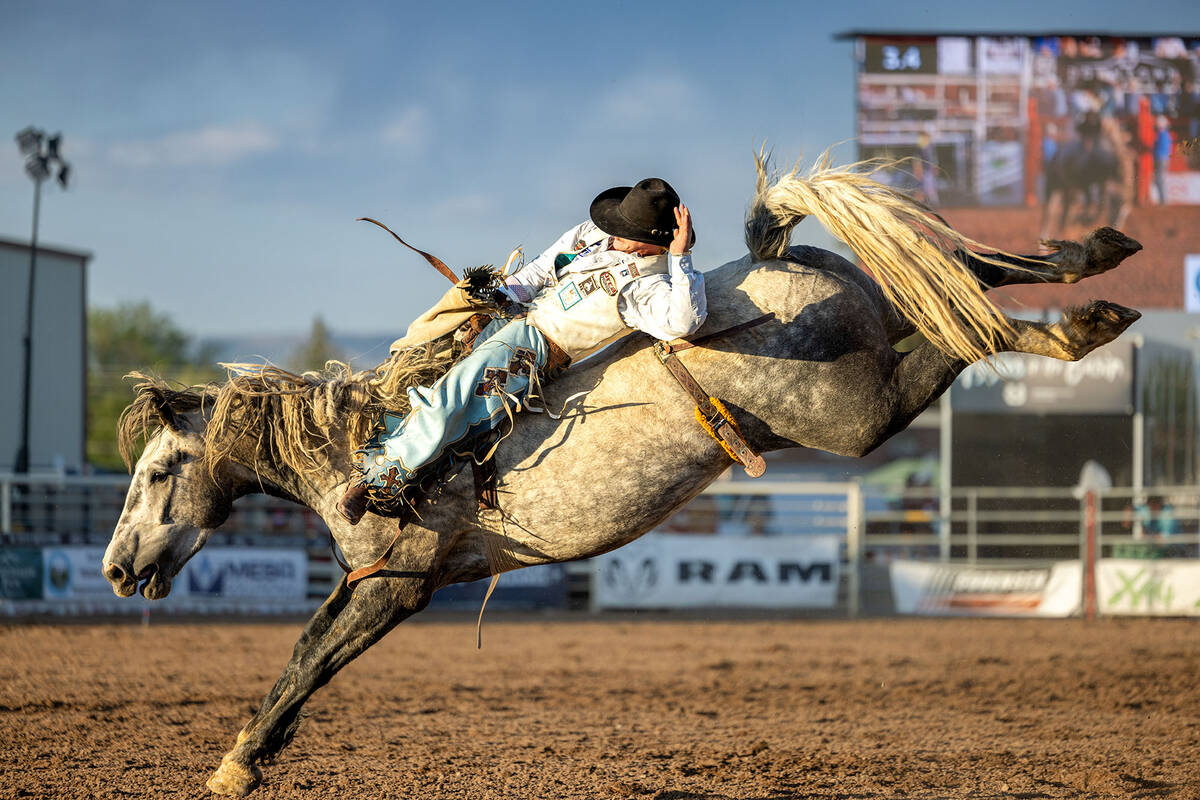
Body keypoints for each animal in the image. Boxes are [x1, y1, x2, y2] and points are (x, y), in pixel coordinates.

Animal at [98, 154, 1137, 796]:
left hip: (856, 414)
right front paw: (241, 758)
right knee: (961, 279)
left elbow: (308, 658)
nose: (114, 568)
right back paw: (1092, 264)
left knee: (968, 328)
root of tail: (766, 266)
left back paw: (1079, 325)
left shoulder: (397, 581)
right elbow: (308, 651)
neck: (361, 446)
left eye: (156, 472)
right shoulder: (376, 580)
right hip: (879, 311)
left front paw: (236, 763)